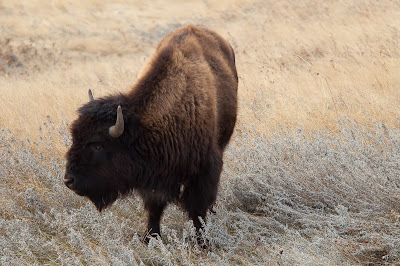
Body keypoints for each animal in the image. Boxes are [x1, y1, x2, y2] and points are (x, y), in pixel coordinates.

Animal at [63, 25, 236, 245]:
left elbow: (197, 209)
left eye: (98, 145)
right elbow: (155, 206)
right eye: (74, 138)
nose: (69, 181)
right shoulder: (154, 177)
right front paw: (151, 238)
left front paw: (202, 242)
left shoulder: (205, 170)